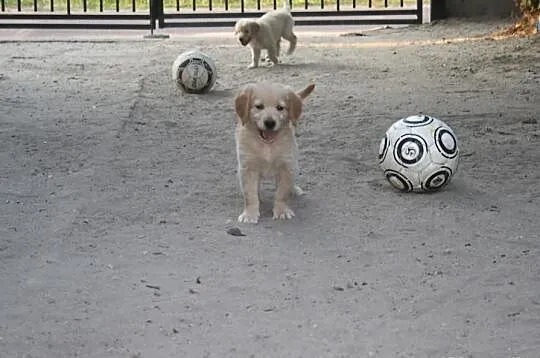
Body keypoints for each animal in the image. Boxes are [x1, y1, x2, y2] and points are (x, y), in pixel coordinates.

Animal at [233, 81, 316, 224]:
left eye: (280, 108)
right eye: (259, 107)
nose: (270, 123)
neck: (267, 145)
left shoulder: (286, 166)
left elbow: (281, 193)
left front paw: (282, 211)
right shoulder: (247, 167)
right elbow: (250, 194)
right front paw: (250, 214)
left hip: (294, 160)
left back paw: (294, 189)